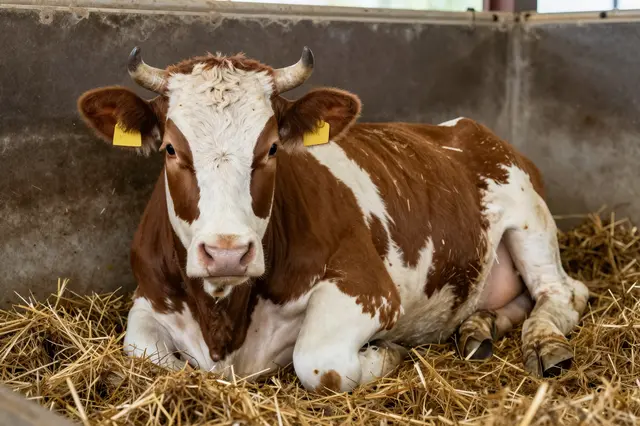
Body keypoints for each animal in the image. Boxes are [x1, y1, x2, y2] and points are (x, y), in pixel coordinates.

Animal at [76, 46, 589, 393]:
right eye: (169, 149)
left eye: (272, 148)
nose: (226, 252)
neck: (223, 319)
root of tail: (464, 126)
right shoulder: (149, 298)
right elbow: (144, 354)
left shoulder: (369, 289)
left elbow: (319, 363)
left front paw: (389, 352)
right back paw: (478, 328)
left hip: (530, 220)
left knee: (563, 292)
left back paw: (544, 344)